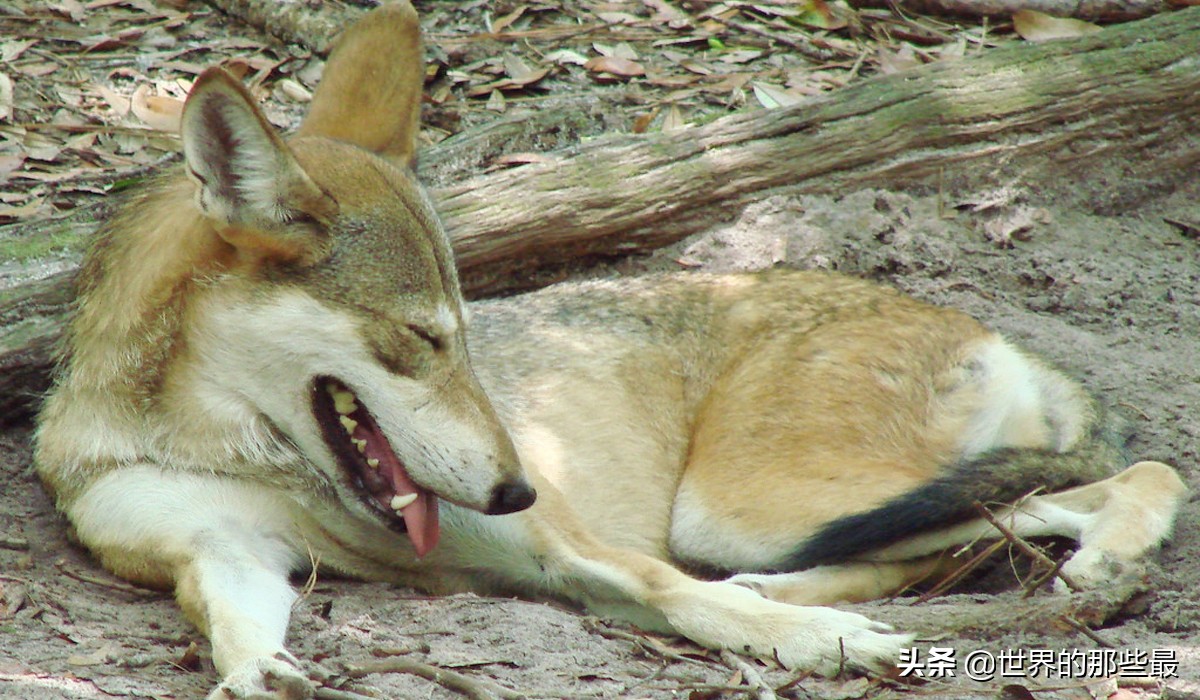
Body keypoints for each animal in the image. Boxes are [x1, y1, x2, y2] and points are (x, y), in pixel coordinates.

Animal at [32, 2, 1185, 696]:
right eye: (421, 338)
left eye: (461, 335)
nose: (514, 490)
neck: (222, 446)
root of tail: (988, 329)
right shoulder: (223, 555)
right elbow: (235, 629)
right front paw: (257, 674)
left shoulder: (573, 548)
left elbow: (682, 600)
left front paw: (822, 647)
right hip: (767, 518)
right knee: (982, 529)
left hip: (737, 506)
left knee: (1141, 473)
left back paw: (1099, 561)